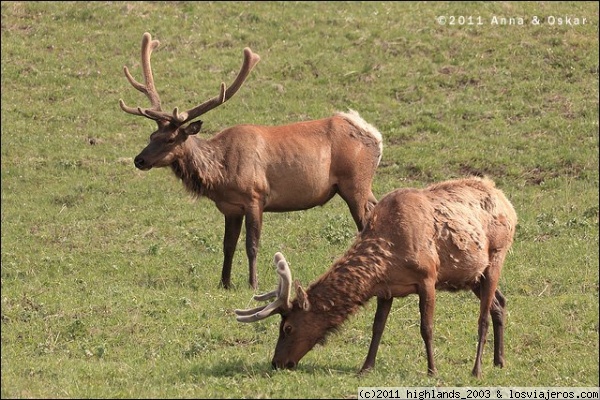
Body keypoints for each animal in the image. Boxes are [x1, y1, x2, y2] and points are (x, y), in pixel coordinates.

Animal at [119, 32, 382, 290]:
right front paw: (224, 283)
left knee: (364, 226)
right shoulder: (230, 207)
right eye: (152, 135)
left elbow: (251, 244)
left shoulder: (255, 196)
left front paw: (253, 284)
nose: (139, 160)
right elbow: (228, 245)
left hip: (354, 183)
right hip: (363, 186)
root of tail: (376, 136)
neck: (220, 174)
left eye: (171, 138)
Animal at [237, 177, 516, 376]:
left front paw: (432, 370)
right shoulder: (386, 289)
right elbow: (377, 327)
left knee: (483, 317)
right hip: (473, 276)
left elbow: (426, 327)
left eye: (288, 327)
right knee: (499, 303)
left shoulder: (428, 277)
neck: (387, 254)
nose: (277, 362)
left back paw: (477, 370)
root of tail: (508, 203)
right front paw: (365, 367)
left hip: (497, 256)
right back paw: (500, 361)